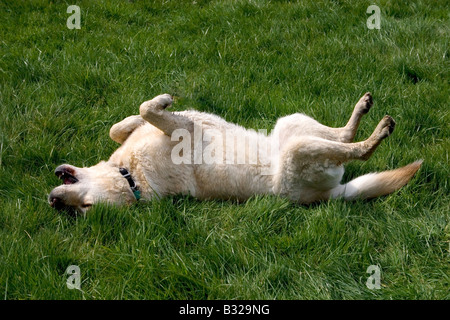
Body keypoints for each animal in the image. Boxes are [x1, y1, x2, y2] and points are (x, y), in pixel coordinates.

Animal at [49, 92, 422, 212]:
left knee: (343, 133)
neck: (130, 176)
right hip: (298, 152)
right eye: (84, 209)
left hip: (290, 123)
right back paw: (377, 133)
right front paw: (162, 102)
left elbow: (128, 121)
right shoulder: (185, 132)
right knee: (356, 151)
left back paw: (362, 109)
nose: (53, 202)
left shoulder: (182, 125)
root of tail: (330, 195)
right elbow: (148, 111)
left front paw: (159, 103)